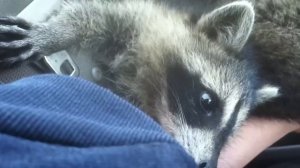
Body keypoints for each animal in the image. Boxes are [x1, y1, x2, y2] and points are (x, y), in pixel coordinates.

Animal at [0, 0, 278, 167]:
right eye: (207, 102)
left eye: (229, 135)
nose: (206, 164)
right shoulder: (136, 16)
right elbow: (90, 12)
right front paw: (54, 35)